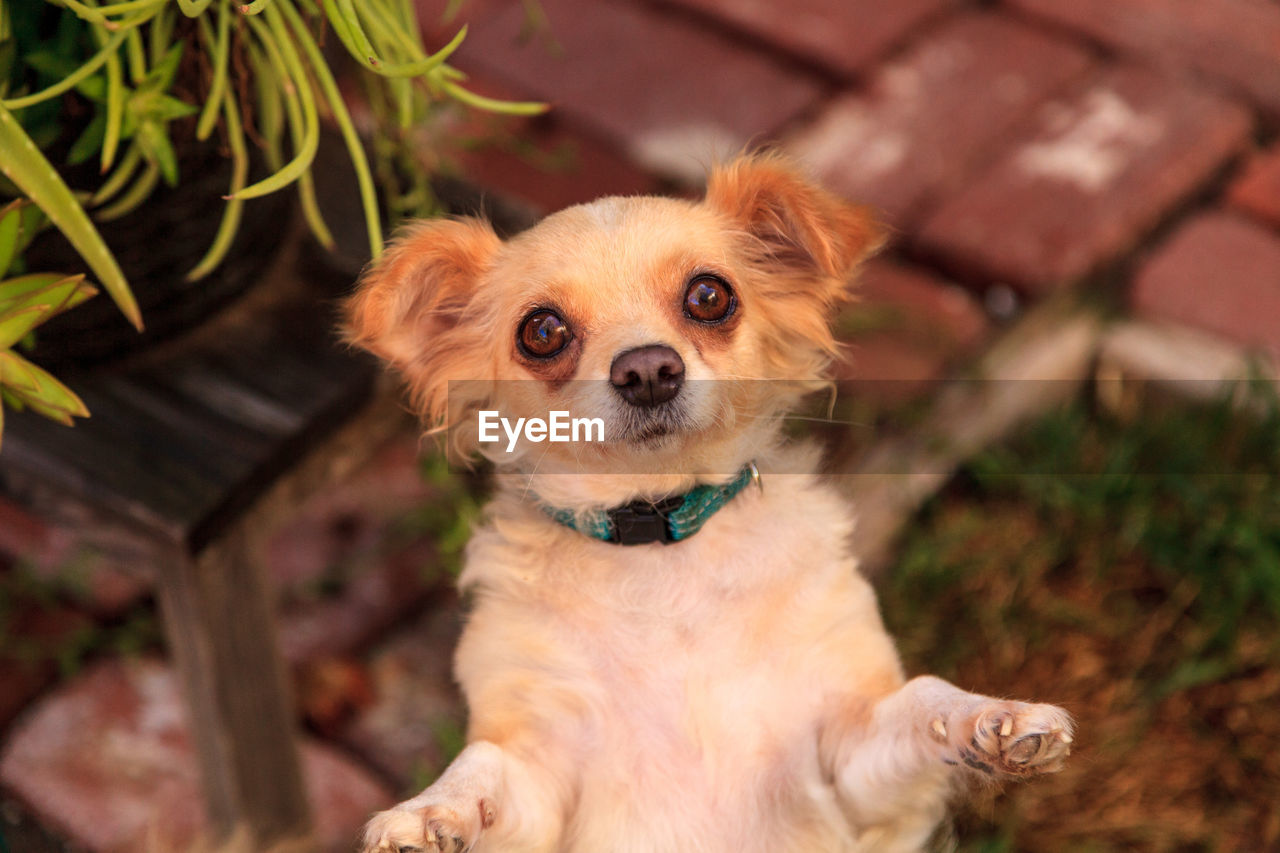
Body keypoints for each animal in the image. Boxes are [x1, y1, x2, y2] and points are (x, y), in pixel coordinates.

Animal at [340, 154, 1070, 850]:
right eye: (541, 332)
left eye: (709, 295)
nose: (646, 369)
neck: (662, 541)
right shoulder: (537, 775)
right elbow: (482, 765)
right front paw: (426, 811)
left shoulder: (853, 758)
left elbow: (925, 699)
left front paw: (994, 716)